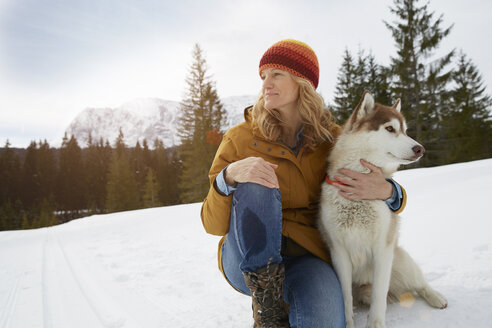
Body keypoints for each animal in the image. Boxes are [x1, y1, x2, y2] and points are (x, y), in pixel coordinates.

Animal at [318, 90, 448, 328]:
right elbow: (345, 297)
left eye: (405, 130)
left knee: (419, 284)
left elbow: (379, 295)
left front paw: (376, 323)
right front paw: (349, 322)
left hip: (401, 260)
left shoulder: (382, 249)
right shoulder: (339, 252)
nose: (420, 148)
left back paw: (436, 297)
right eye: (390, 128)